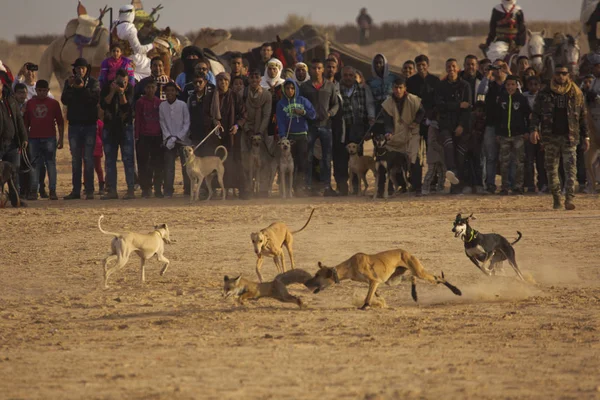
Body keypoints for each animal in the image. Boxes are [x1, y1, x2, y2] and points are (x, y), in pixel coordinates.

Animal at [308, 248, 462, 310]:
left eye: (317, 275)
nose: (308, 283)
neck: (349, 266)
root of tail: (405, 252)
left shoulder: (374, 281)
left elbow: (368, 296)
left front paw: (365, 306)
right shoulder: (376, 283)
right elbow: (375, 294)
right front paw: (378, 301)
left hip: (420, 272)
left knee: (438, 278)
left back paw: (456, 291)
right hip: (393, 280)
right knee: (412, 277)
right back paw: (414, 295)